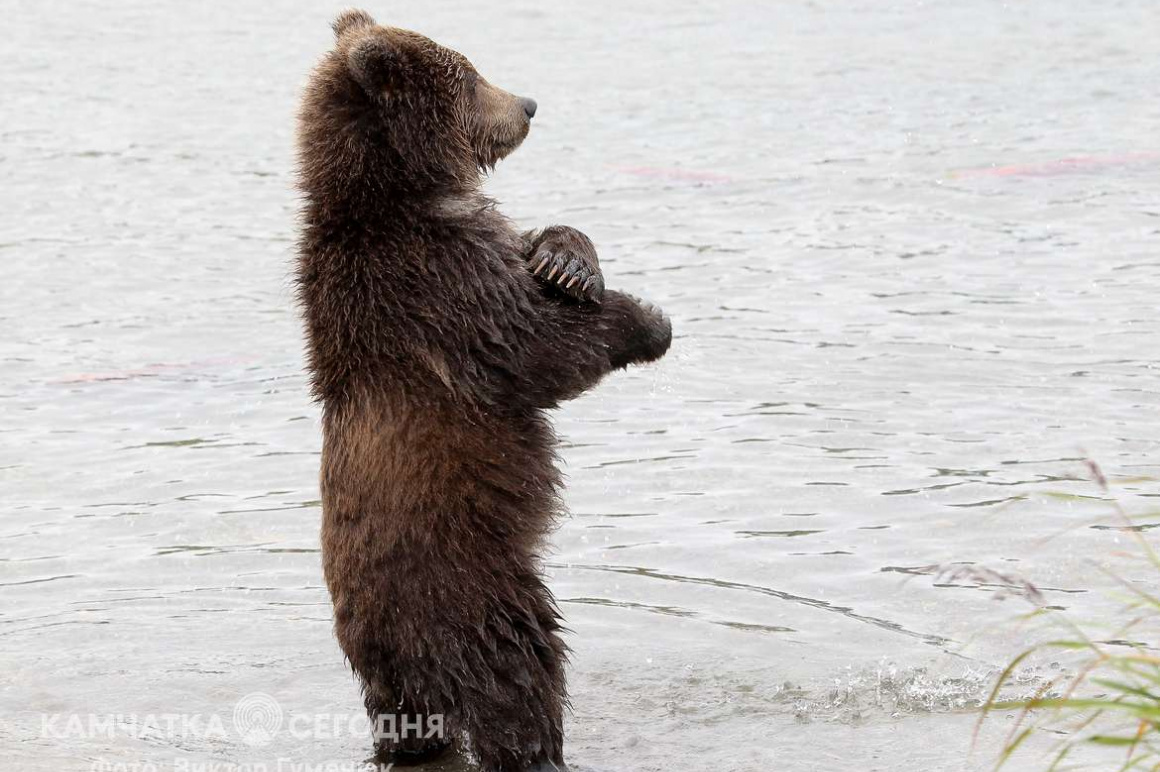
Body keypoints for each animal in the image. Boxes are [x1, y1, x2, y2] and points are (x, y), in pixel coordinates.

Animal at [294, 9, 672, 765]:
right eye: (469, 76)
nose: (527, 103)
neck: (396, 193)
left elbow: (539, 255)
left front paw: (567, 263)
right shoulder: (432, 282)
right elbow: (531, 348)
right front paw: (647, 321)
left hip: (388, 659)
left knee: (407, 714)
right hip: (471, 590)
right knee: (519, 676)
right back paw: (541, 746)